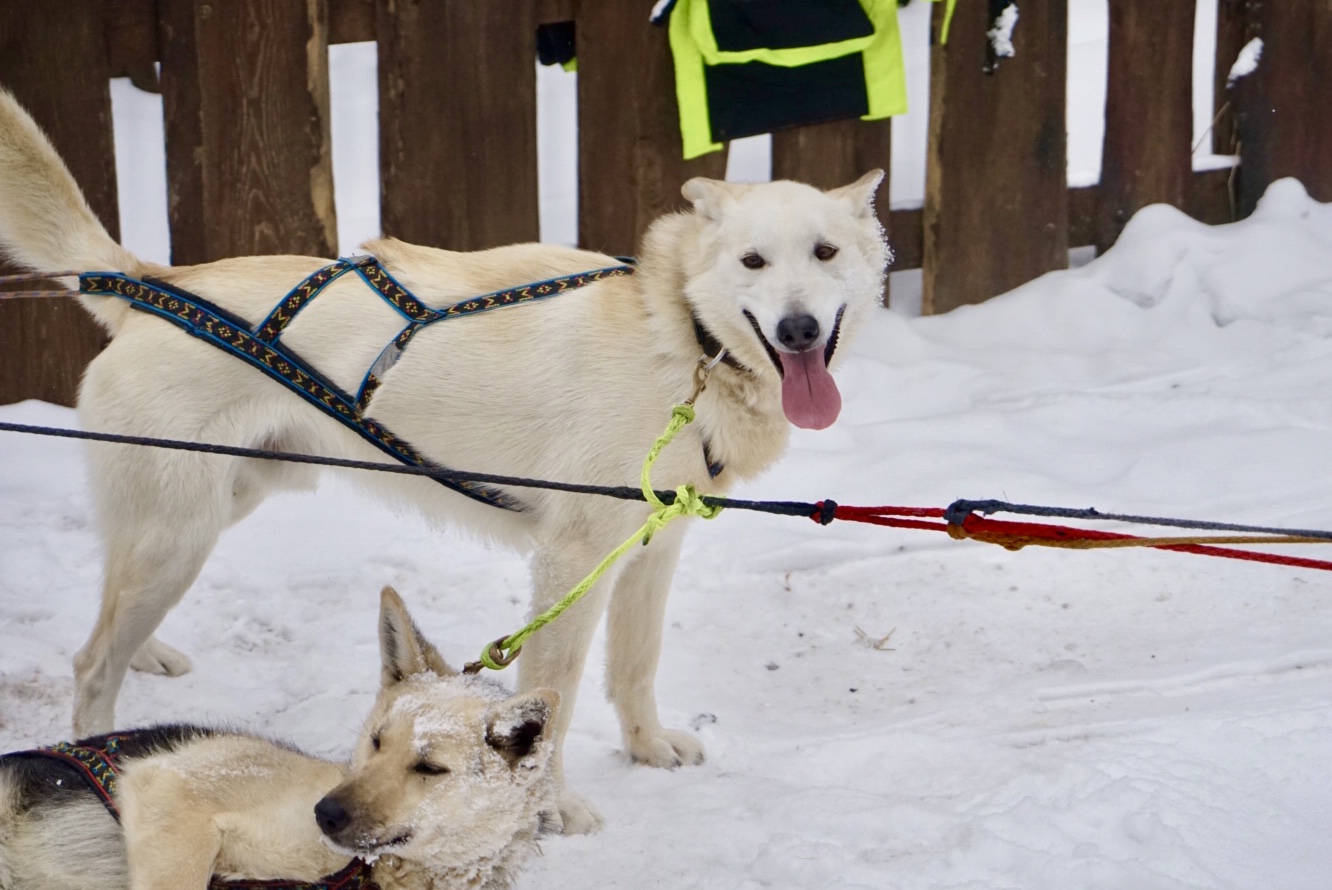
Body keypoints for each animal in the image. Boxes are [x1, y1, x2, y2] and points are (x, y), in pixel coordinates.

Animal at [2, 86, 895, 831]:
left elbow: (635, 668)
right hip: (176, 535)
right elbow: (559, 695)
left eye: (824, 253)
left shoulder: (651, 551)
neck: (679, 337)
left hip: (204, 513)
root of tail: (146, 284)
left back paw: (147, 653)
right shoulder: (573, 562)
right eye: (753, 262)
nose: (798, 331)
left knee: (111, 606)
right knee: (91, 661)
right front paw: (553, 810)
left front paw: (647, 749)